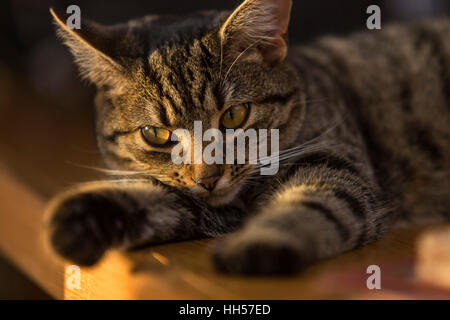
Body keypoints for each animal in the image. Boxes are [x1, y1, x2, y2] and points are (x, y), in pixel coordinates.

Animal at [46, 0, 450, 276]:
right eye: (155, 134)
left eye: (234, 116)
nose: (208, 178)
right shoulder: (198, 200)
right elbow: (153, 196)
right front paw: (75, 221)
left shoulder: (334, 163)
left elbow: (313, 206)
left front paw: (258, 244)